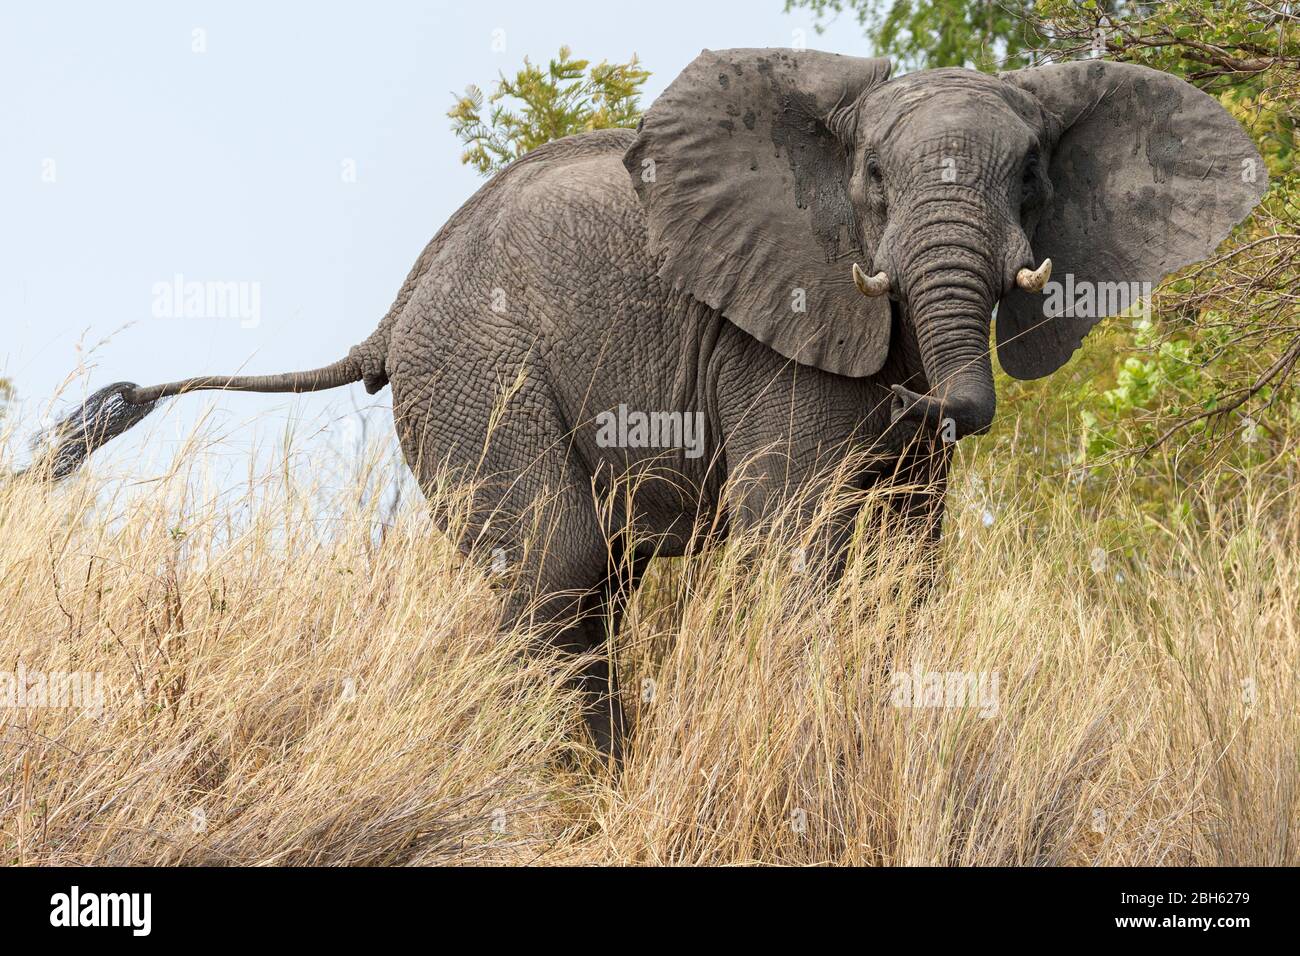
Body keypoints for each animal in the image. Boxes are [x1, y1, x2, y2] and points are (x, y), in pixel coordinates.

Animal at [50, 49, 1266, 761]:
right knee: (560, 567)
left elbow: (902, 560)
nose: (951, 406)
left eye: (1031, 180)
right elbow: (806, 535)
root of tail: (391, 317)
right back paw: (584, 787)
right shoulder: (771, 330)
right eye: (872, 183)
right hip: (477, 372)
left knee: (593, 577)